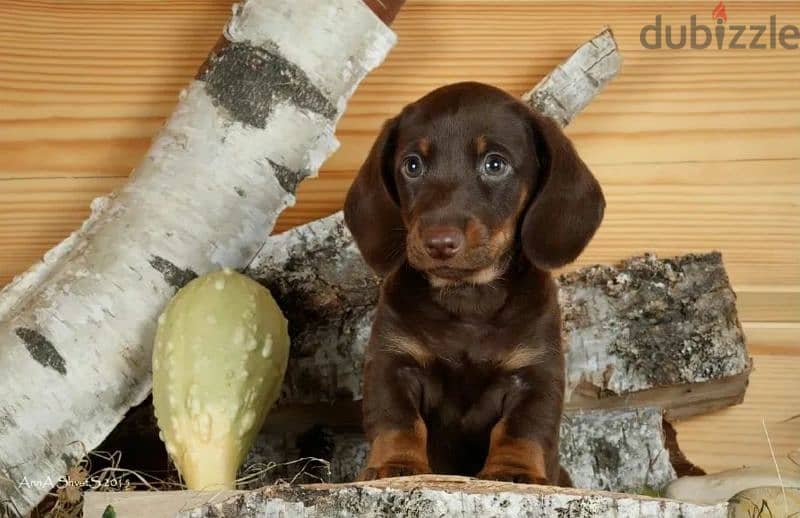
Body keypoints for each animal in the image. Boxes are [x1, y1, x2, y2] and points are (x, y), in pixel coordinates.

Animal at [340, 82, 604, 488]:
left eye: (494, 164)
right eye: (412, 165)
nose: (438, 242)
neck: (467, 300)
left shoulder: (535, 372)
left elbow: (521, 429)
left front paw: (514, 471)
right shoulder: (392, 361)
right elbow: (398, 421)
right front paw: (394, 464)